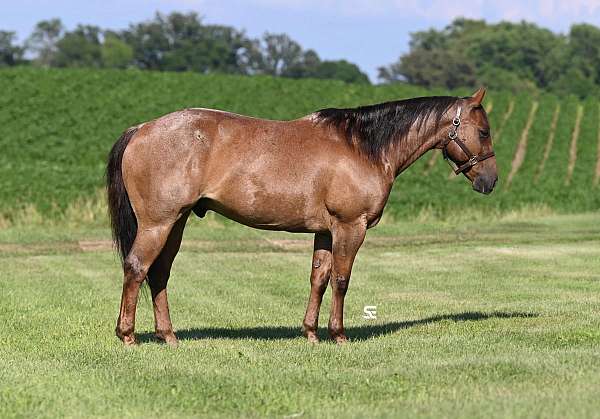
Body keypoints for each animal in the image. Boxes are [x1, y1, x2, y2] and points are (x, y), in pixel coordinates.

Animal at [106, 87, 496, 346]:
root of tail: (140, 129)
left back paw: (168, 337)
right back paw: (128, 337)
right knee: (137, 268)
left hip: (177, 222)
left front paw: (310, 333)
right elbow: (341, 280)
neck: (363, 147)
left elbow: (318, 279)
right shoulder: (350, 227)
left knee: (159, 273)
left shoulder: (325, 232)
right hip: (158, 223)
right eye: (483, 131)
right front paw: (338, 335)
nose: (490, 181)